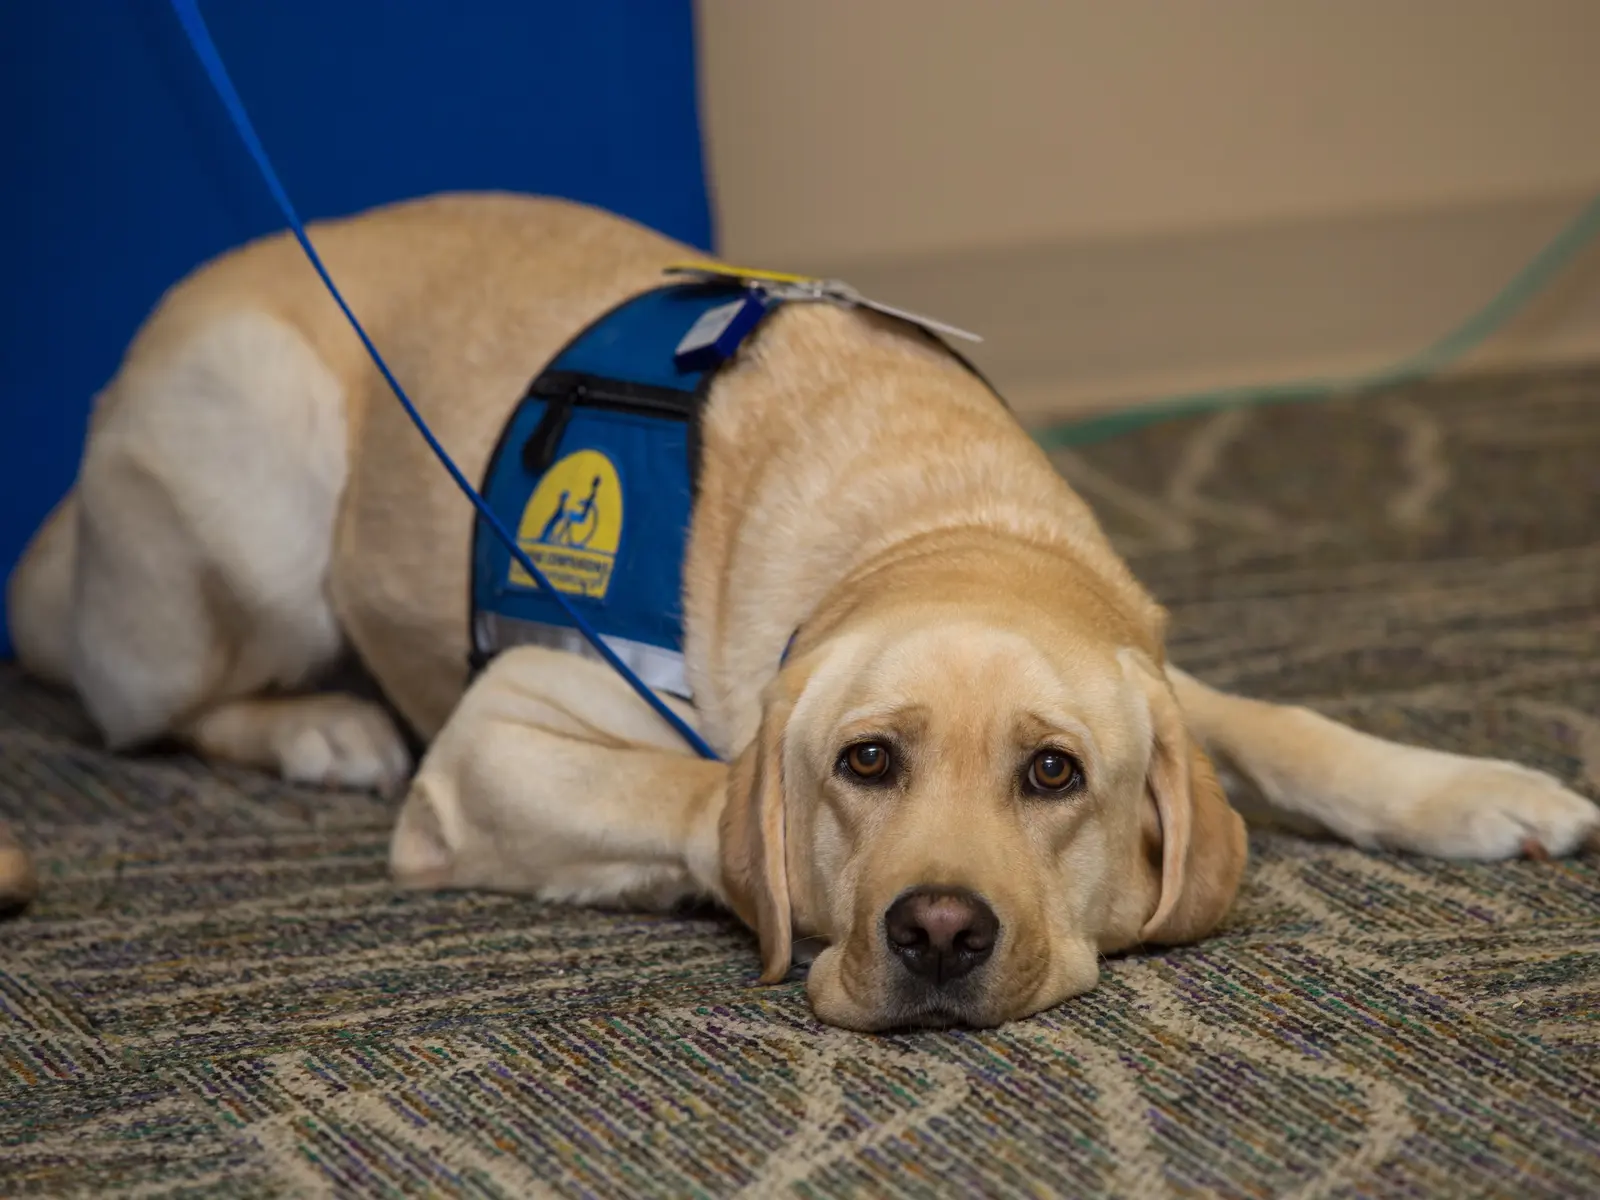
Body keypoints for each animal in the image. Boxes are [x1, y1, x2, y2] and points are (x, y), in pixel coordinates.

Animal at [6, 197, 1593, 1036]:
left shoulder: (1149, 664)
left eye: (1055, 773)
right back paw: (318, 726)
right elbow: (695, 792)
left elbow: (1277, 724)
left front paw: (1469, 789)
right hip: (254, 458)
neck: (934, 514)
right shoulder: (495, 743)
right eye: (864, 763)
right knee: (152, 709)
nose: (938, 931)